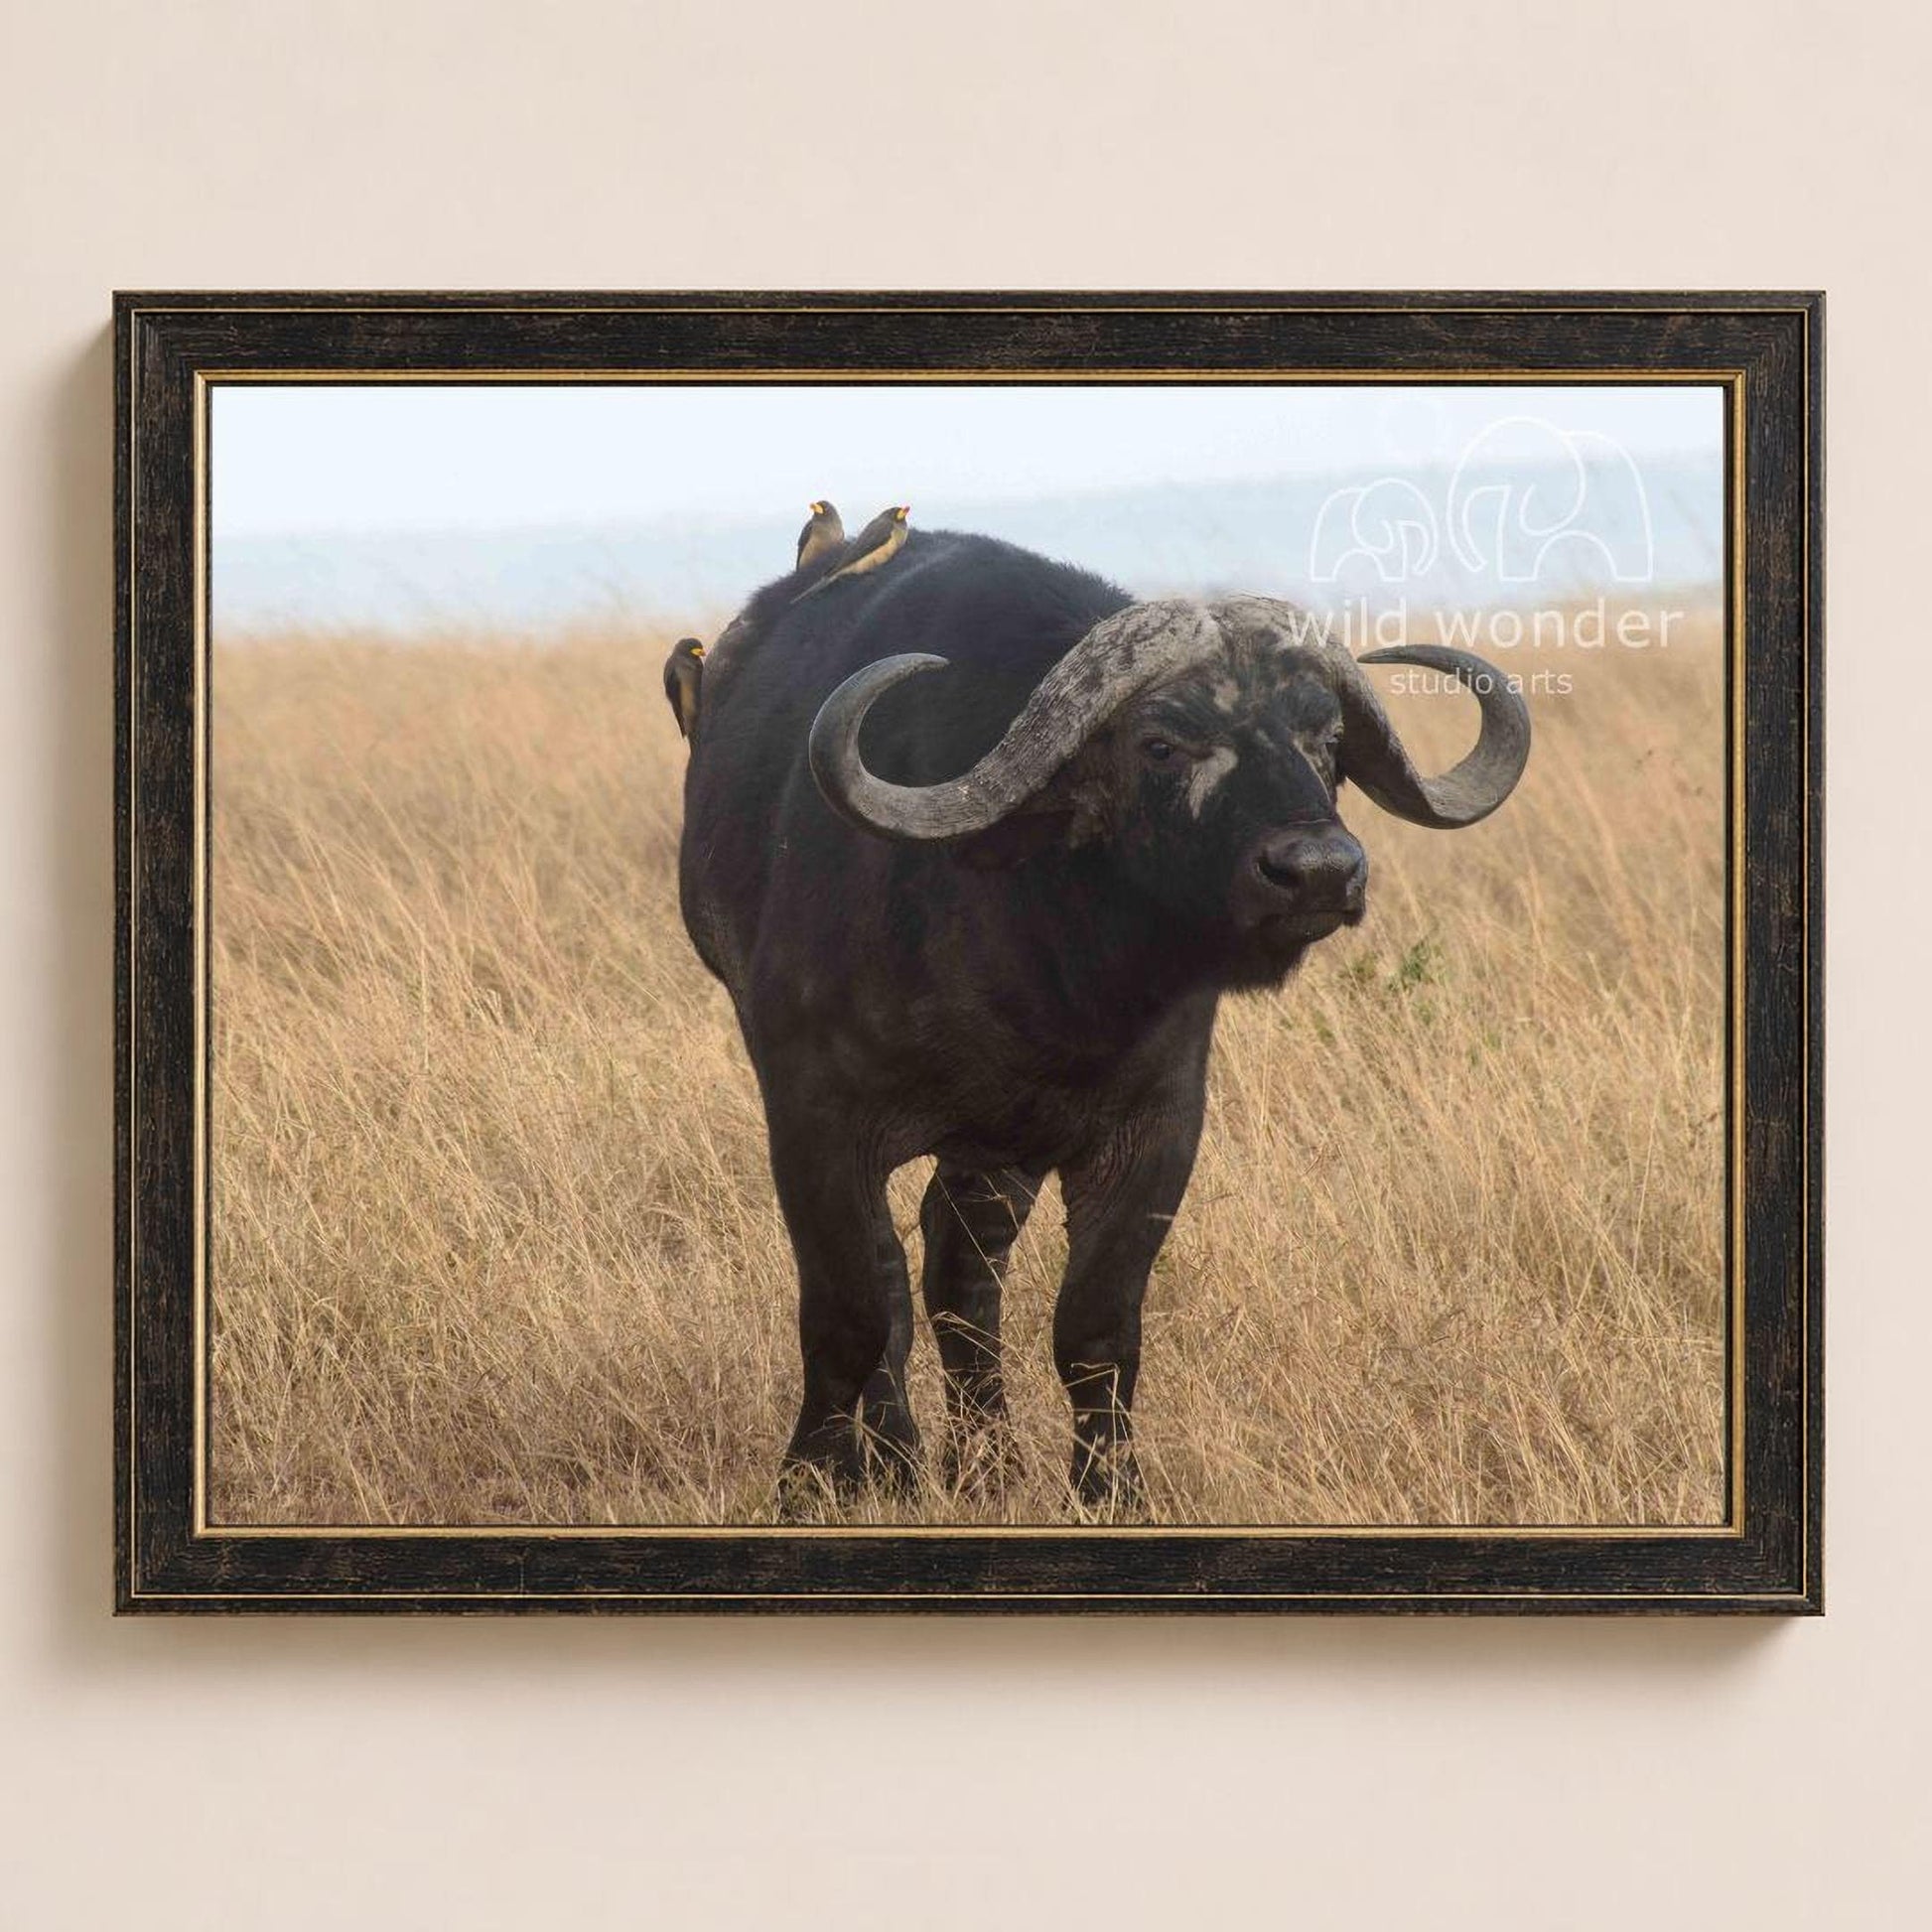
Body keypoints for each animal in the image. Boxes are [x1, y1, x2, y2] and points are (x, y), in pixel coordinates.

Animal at [677, 529, 1529, 1511]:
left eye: (1327, 743)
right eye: (1160, 743)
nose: (1318, 871)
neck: (1041, 965)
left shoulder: (1153, 1131)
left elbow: (1096, 1326)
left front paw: (1109, 1489)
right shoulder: (814, 1120)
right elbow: (849, 1311)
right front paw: (814, 1480)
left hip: (995, 1153)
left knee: (960, 1269)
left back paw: (987, 1463)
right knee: (894, 1281)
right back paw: (899, 1461)